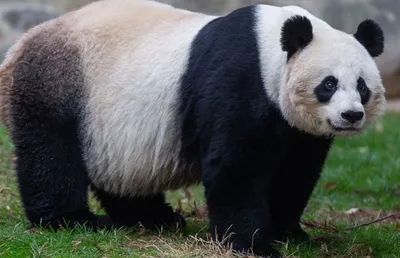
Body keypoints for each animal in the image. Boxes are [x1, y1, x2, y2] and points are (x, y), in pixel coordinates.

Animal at [0, 0, 384, 256]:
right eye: (329, 84)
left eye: (362, 86)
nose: (351, 115)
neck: (272, 49)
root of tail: (18, 47)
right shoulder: (239, 81)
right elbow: (235, 167)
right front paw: (252, 244)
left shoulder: (298, 131)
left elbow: (295, 171)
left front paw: (289, 232)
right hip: (57, 85)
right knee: (50, 154)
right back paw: (74, 220)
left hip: (108, 125)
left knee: (118, 174)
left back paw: (156, 218)